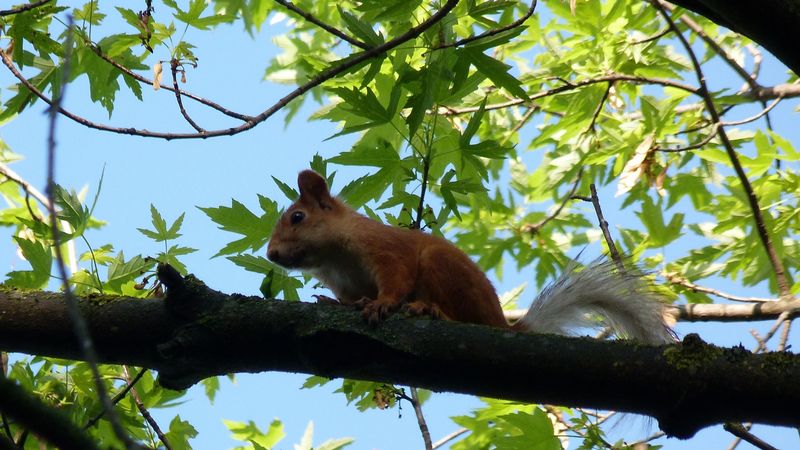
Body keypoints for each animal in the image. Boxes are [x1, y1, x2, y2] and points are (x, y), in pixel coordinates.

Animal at [267, 170, 674, 344]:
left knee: (462, 317)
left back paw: (429, 309)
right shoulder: (344, 283)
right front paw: (329, 301)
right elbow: (348, 298)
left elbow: (396, 279)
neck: (333, 259)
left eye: (297, 217)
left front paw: (381, 304)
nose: (270, 254)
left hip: (441, 268)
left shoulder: (386, 250)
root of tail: (501, 324)